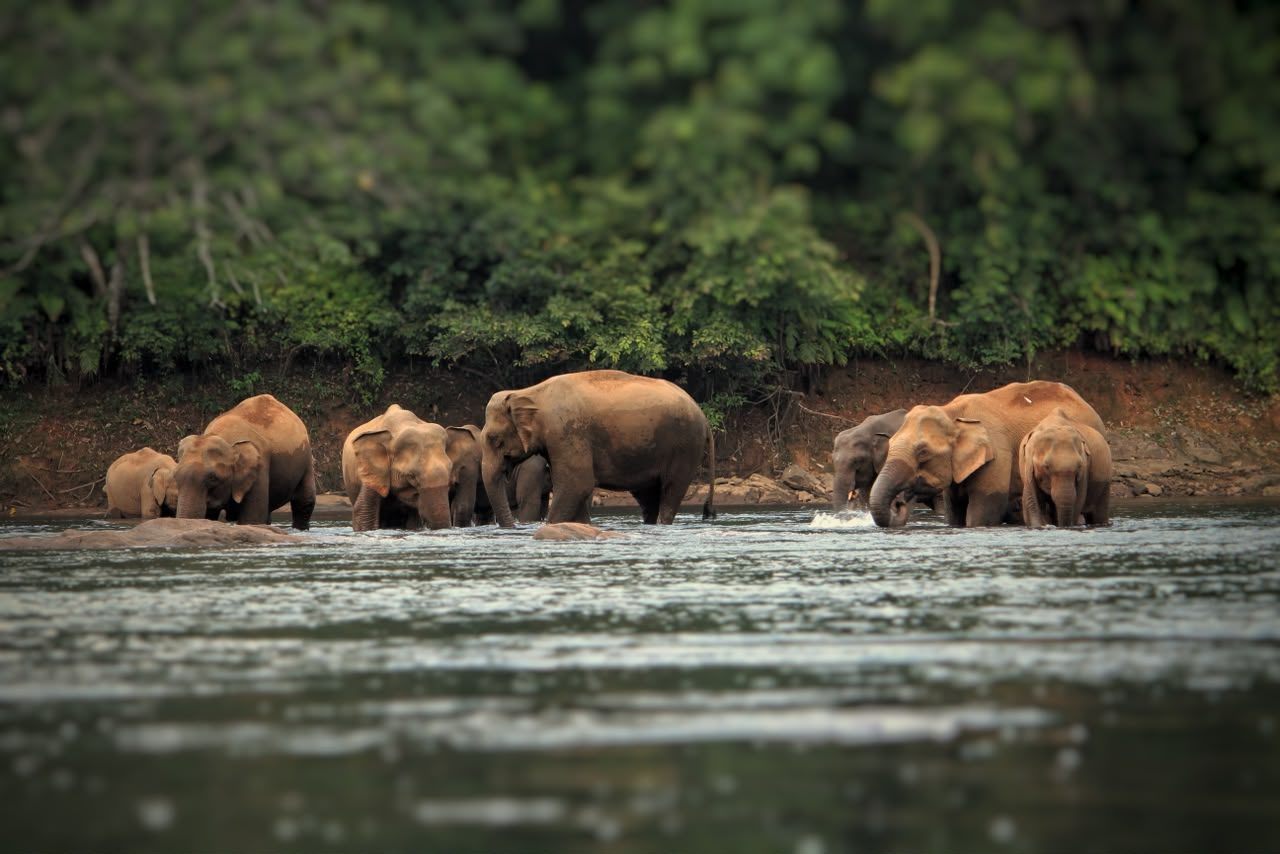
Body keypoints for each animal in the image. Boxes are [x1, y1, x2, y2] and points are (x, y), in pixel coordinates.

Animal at [175, 394, 316, 529]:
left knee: (304, 504)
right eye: (175, 476)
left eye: (213, 478)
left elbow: (251, 519)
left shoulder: (260, 466)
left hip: (306, 458)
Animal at [480, 369, 715, 527]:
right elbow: (578, 488)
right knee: (648, 497)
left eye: (494, 439)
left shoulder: (567, 432)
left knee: (670, 491)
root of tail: (703, 416)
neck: (532, 393)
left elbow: (577, 483)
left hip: (685, 447)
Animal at [868, 381, 1104, 528]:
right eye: (889, 445)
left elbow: (983, 511)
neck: (952, 412)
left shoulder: (997, 456)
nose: (899, 503)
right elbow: (954, 512)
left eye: (923, 452)